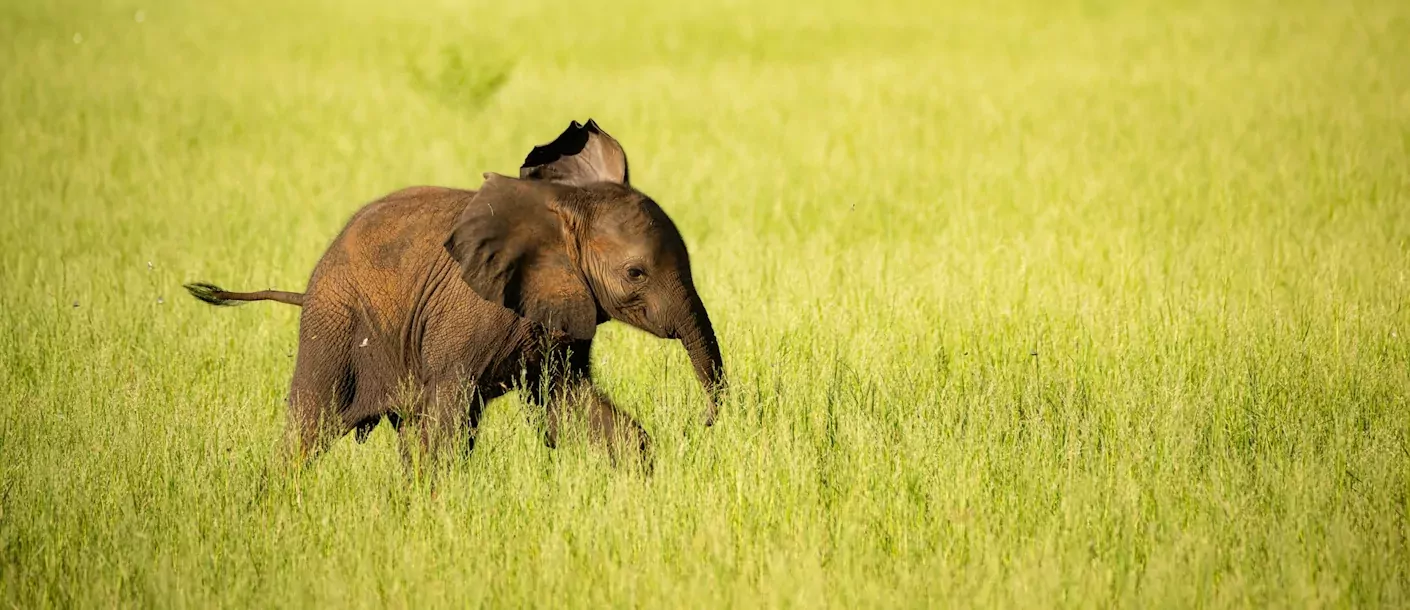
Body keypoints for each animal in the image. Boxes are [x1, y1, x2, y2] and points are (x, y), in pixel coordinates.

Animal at [184, 121, 727, 467]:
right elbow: (447, 422)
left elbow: (568, 405)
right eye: (636, 273)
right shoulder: (472, 314)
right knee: (308, 429)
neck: (559, 212)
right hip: (333, 323)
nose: (704, 423)